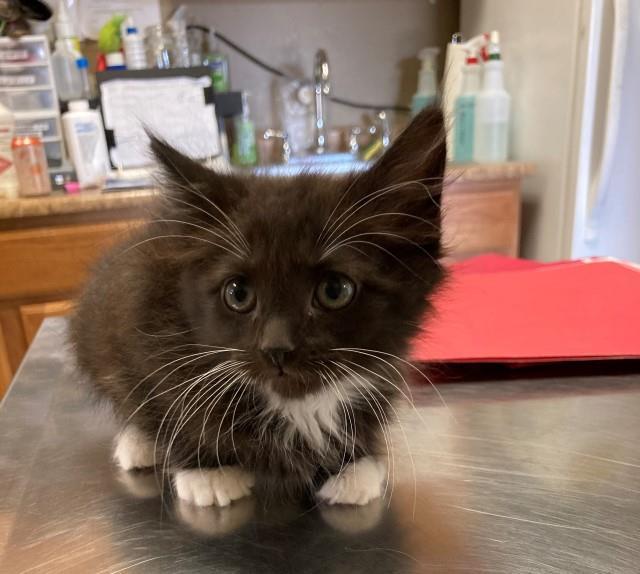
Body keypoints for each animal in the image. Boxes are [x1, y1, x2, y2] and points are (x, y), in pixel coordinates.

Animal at [70, 107, 444, 508]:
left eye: (334, 290)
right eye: (238, 293)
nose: (276, 348)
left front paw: (352, 463)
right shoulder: (140, 325)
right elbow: (163, 398)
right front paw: (207, 469)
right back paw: (139, 443)